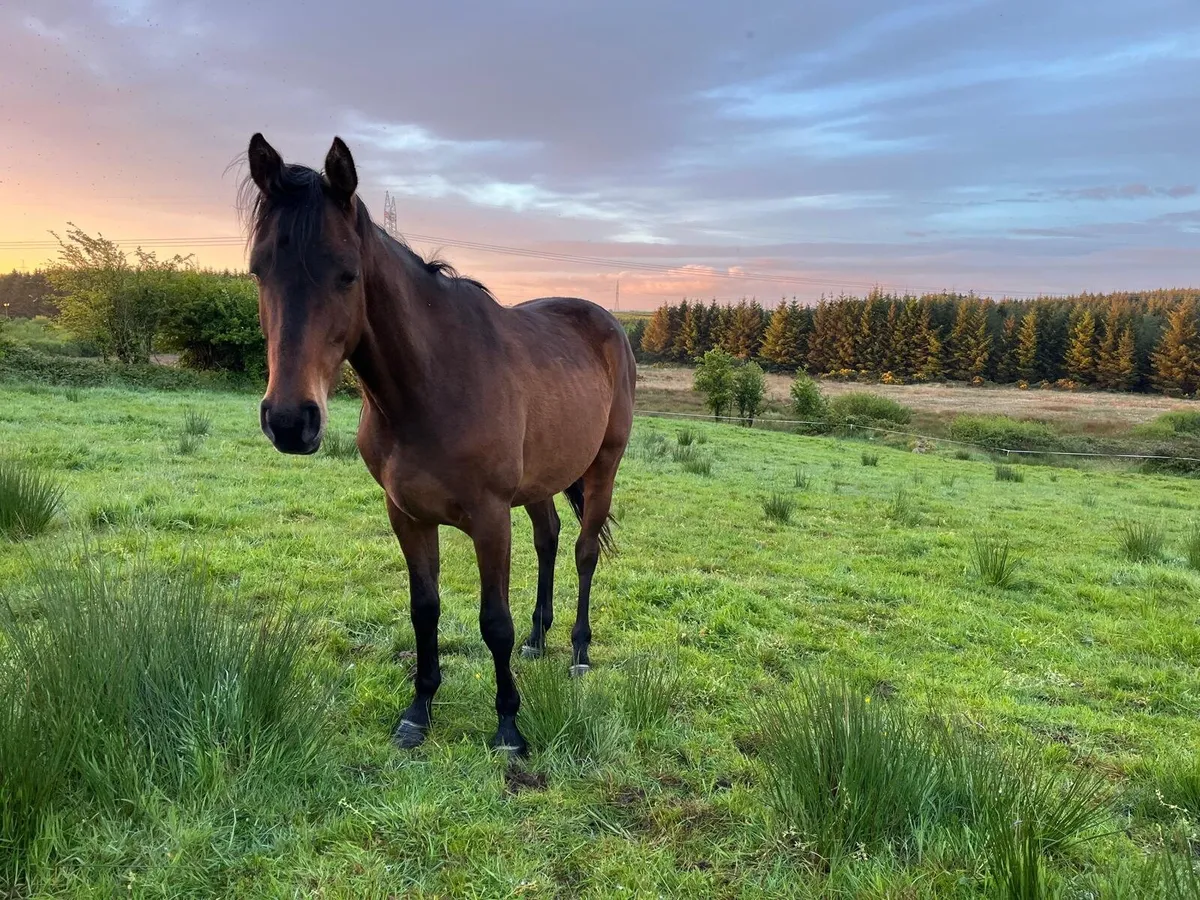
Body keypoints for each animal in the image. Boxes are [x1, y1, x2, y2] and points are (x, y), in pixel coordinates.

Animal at [241, 133, 636, 756]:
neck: (430, 386)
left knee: (583, 551)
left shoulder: (490, 518)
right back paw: (539, 639)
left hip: (603, 468)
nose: (289, 421)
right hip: (540, 482)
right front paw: (418, 711)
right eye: (259, 271)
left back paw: (577, 651)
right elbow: (424, 609)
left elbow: (493, 621)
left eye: (347, 275)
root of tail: (608, 323)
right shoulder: (406, 514)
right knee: (548, 540)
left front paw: (508, 727)